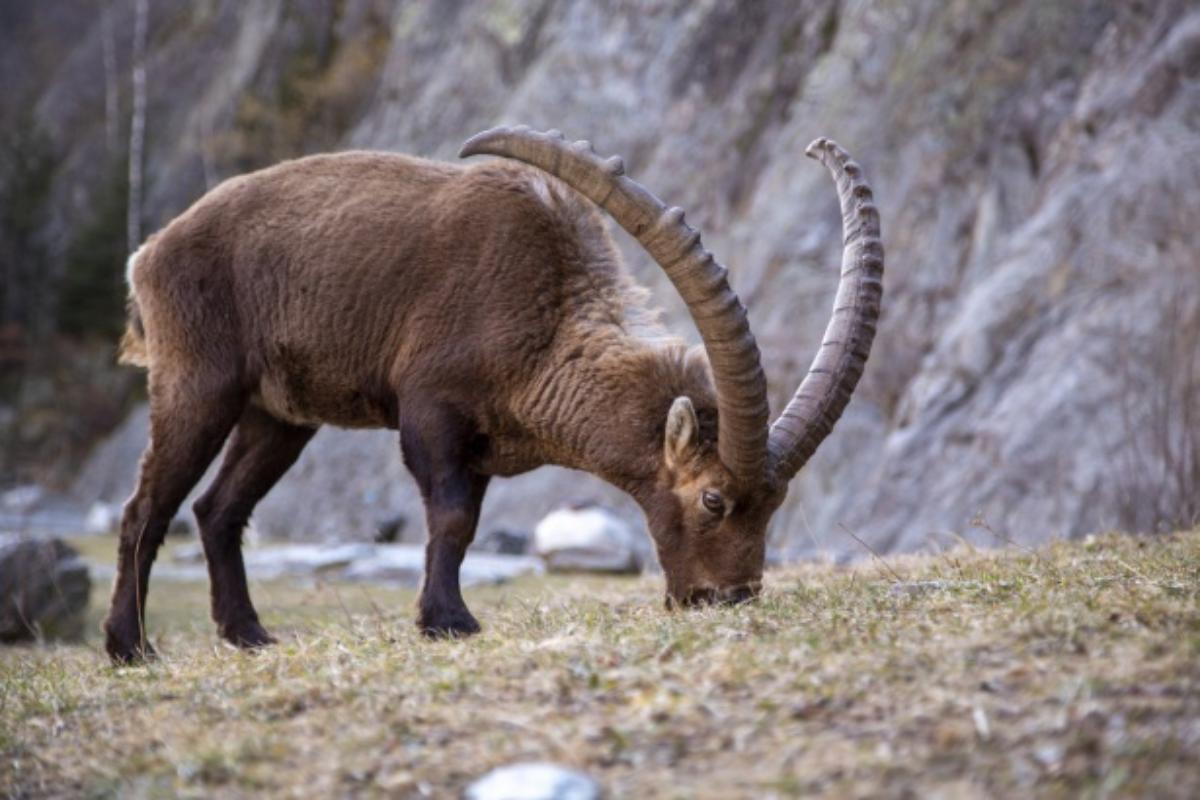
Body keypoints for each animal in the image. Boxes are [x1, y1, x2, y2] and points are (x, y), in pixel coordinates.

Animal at [104, 126, 882, 662]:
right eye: (714, 499)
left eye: (774, 504)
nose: (724, 600)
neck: (543, 316)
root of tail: (149, 254)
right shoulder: (431, 414)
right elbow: (450, 519)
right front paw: (448, 622)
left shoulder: (477, 447)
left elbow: (467, 524)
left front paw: (443, 616)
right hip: (199, 383)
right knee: (147, 508)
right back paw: (129, 646)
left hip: (278, 415)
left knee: (217, 510)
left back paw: (247, 634)